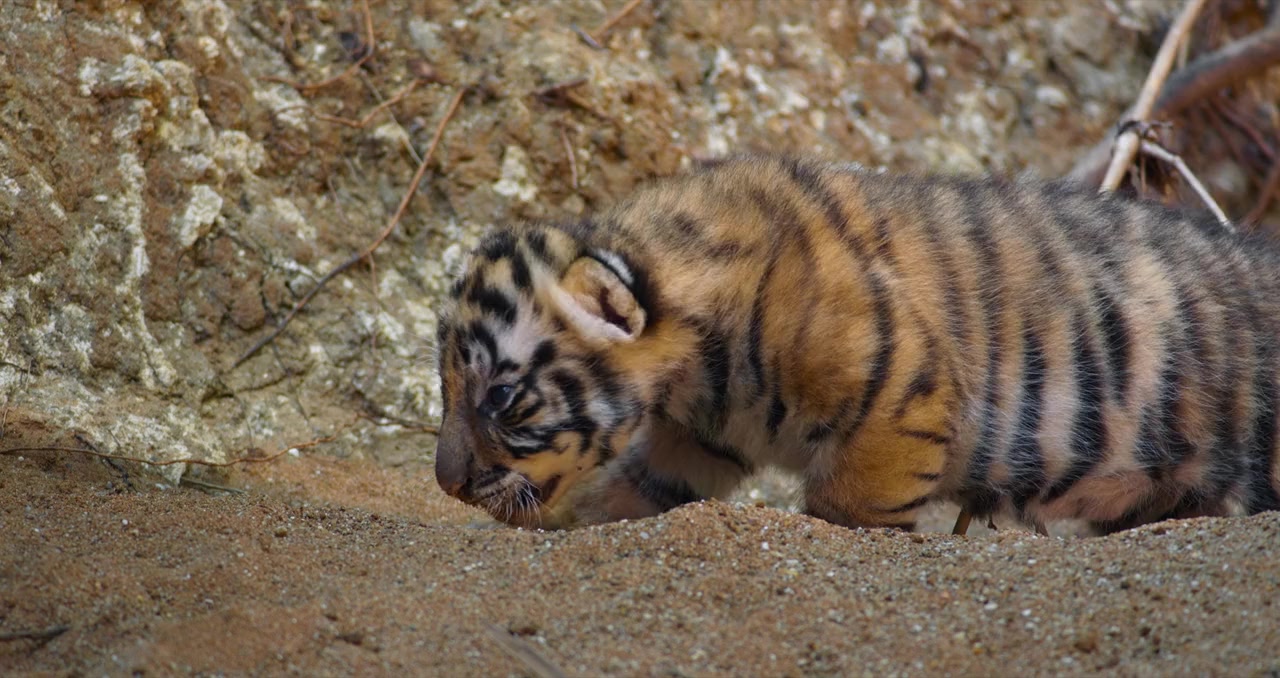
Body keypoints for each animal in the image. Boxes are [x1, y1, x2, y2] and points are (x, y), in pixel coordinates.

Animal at [432, 154, 1280, 534]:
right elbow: (630, 494)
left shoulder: (899, 397)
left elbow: (849, 506)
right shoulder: (691, 446)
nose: (446, 484)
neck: (692, 373)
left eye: (501, 398)